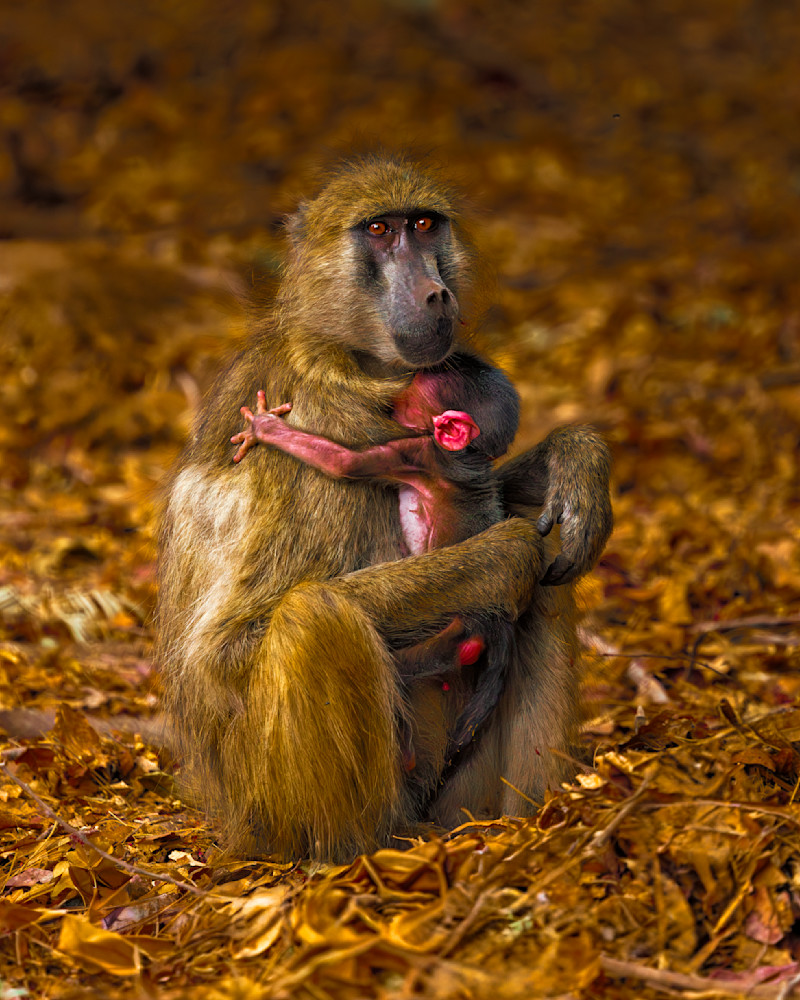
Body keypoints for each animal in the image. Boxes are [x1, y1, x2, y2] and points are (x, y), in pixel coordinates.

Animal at [157, 153, 612, 861]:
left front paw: (576, 464)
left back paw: (529, 826)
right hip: (272, 812)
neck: (350, 359)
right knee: (314, 616)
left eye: (423, 225)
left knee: (550, 585)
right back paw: (360, 854)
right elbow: (223, 652)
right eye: (379, 230)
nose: (435, 293)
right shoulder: (312, 426)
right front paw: (506, 551)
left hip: (456, 794)